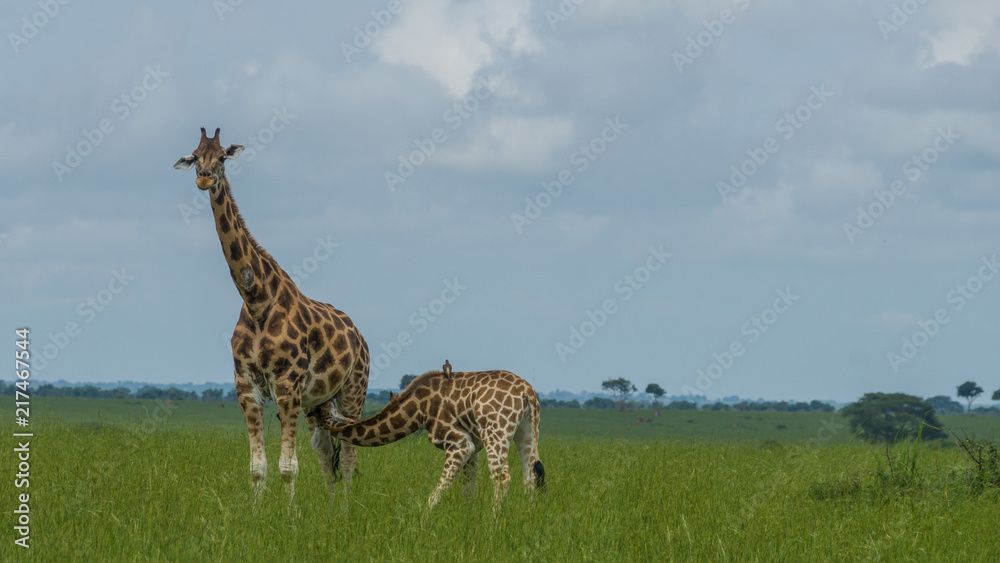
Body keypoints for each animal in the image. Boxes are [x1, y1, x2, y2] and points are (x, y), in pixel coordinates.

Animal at [173, 128, 370, 505]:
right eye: (195, 155)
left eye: (222, 157)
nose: (203, 178)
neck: (255, 300)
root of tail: (359, 335)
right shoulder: (246, 386)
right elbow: (258, 466)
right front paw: (257, 512)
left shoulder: (287, 385)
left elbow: (288, 466)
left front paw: (290, 516)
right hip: (319, 401)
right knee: (326, 451)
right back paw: (331, 508)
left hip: (354, 388)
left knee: (350, 454)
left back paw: (346, 509)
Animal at [321, 365, 545, 508]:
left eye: (322, 412)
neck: (420, 410)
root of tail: (527, 392)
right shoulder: (475, 447)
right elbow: (468, 488)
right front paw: (470, 522)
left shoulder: (460, 443)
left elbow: (438, 490)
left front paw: (422, 522)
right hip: (526, 429)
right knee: (530, 474)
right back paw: (527, 517)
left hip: (496, 431)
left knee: (501, 477)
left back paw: (494, 523)